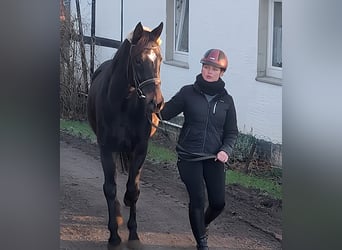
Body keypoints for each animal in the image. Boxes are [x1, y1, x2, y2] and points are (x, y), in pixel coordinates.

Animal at [87, 22, 164, 248]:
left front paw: (134, 234)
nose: (156, 103)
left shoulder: (139, 149)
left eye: (160, 59)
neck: (123, 104)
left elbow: (133, 189)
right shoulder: (106, 149)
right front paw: (114, 235)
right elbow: (110, 188)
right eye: (138, 60)